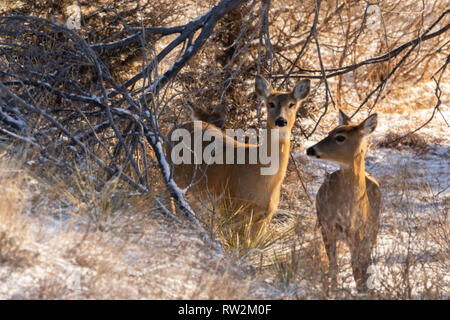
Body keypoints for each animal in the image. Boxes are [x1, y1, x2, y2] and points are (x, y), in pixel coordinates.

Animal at [167, 75, 312, 235]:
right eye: (271, 103)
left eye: (292, 104)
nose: (281, 120)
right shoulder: (230, 206)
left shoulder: (263, 218)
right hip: (175, 176)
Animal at [306, 110, 380, 292]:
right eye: (329, 132)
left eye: (340, 137)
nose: (310, 149)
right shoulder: (327, 226)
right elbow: (334, 266)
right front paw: (334, 290)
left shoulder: (359, 232)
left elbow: (358, 268)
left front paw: (362, 290)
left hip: (373, 230)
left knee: (365, 262)